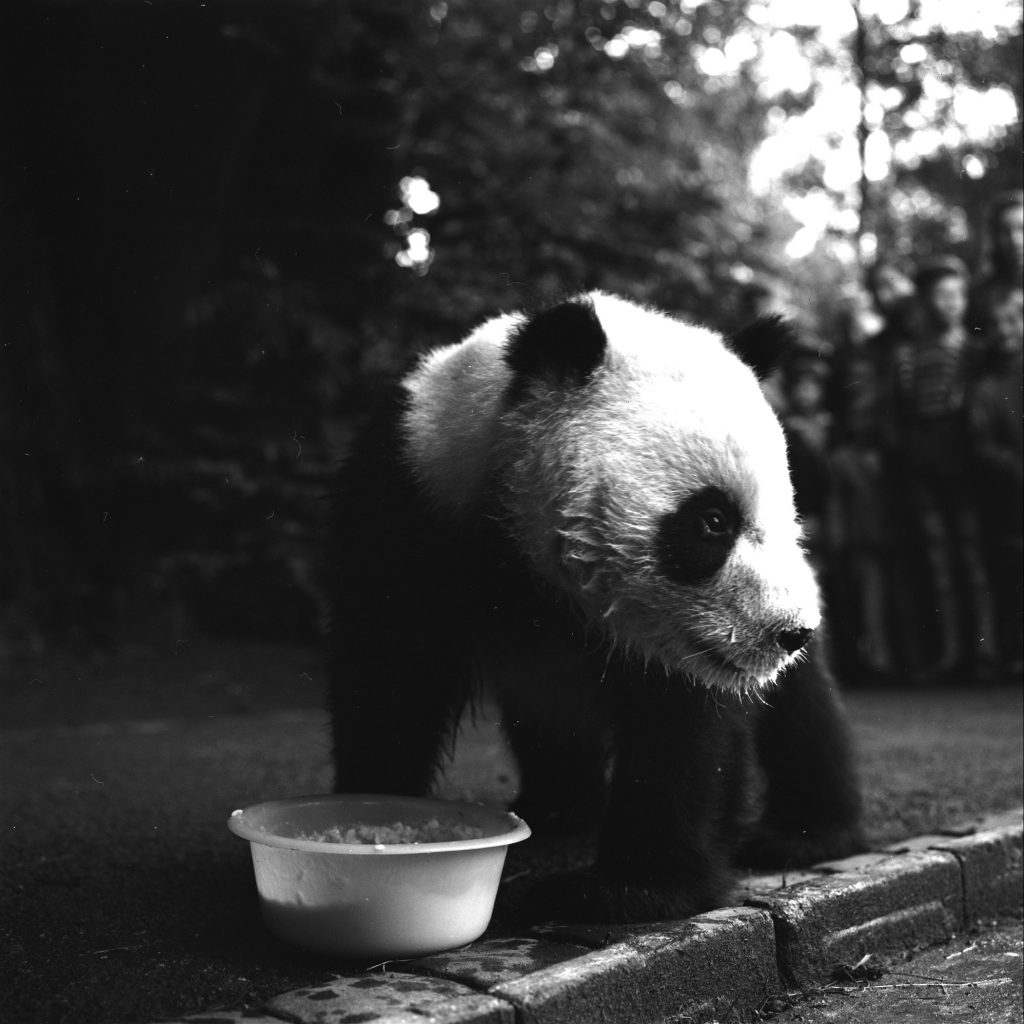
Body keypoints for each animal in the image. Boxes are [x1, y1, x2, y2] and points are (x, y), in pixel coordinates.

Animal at [327, 292, 864, 925]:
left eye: (786, 515)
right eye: (712, 521)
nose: (789, 632)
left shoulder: (676, 633)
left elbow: (682, 728)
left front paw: (625, 890)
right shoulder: (413, 507)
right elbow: (392, 676)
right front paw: (371, 819)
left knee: (805, 710)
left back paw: (804, 835)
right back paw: (560, 807)